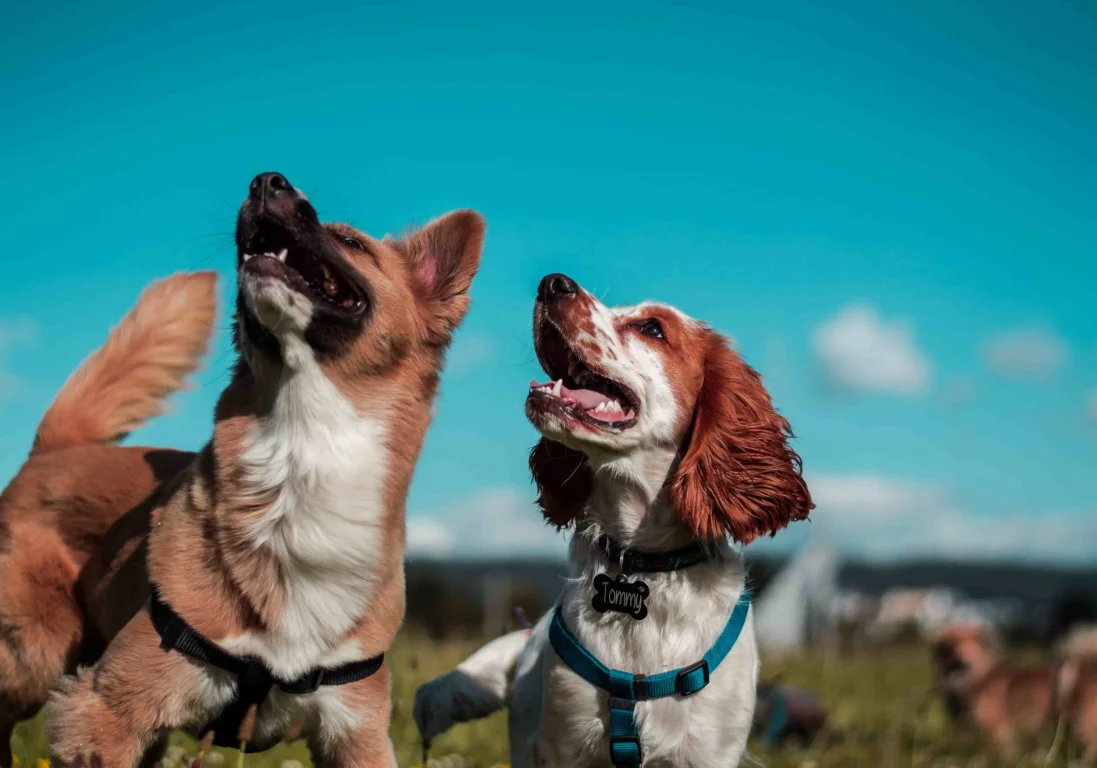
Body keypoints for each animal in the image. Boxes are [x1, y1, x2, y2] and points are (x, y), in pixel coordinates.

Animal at [3, 174, 484, 768]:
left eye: (351, 242)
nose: (267, 181)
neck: (302, 453)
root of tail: (57, 448)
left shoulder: (357, 731)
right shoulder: (105, 711)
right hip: (31, 659)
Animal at [934, 623, 1097, 763]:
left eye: (967, 642)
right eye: (946, 646)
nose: (957, 656)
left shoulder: (993, 729)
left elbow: (989, 753)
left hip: (1081, 725)